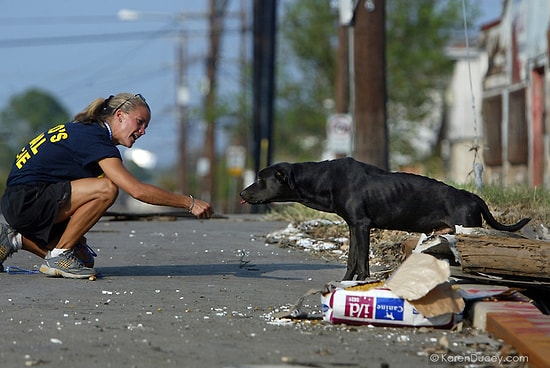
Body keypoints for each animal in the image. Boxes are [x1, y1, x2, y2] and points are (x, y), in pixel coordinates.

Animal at [239, 157, 532, 280]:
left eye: (261, 179)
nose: (242, 193)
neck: (325, 178)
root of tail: (472, 197)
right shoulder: (353, 227)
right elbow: (352, 259)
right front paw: (347, 281)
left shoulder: (362, 225)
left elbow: (362, 262)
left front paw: (362, 282)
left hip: (468, 230)